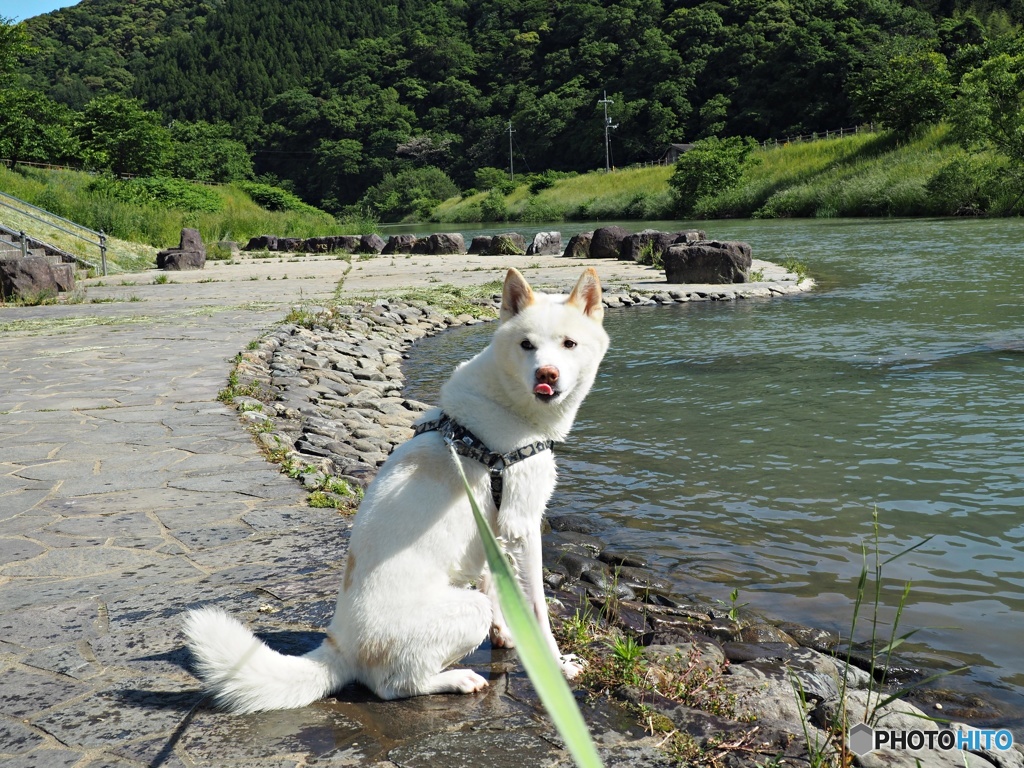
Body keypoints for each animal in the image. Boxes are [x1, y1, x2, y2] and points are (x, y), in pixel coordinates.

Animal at [184, 268, 606, 712]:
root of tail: (340, 648)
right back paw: (454, 679)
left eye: (569, 344)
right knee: (391, 686)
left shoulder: (494, 531)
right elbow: (538, 608)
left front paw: (507, 636)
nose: (546, 375)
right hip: (459, 612)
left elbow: (498, 588)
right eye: (526, 345)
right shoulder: (521, 525)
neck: (507, 403)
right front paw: (556, 665)